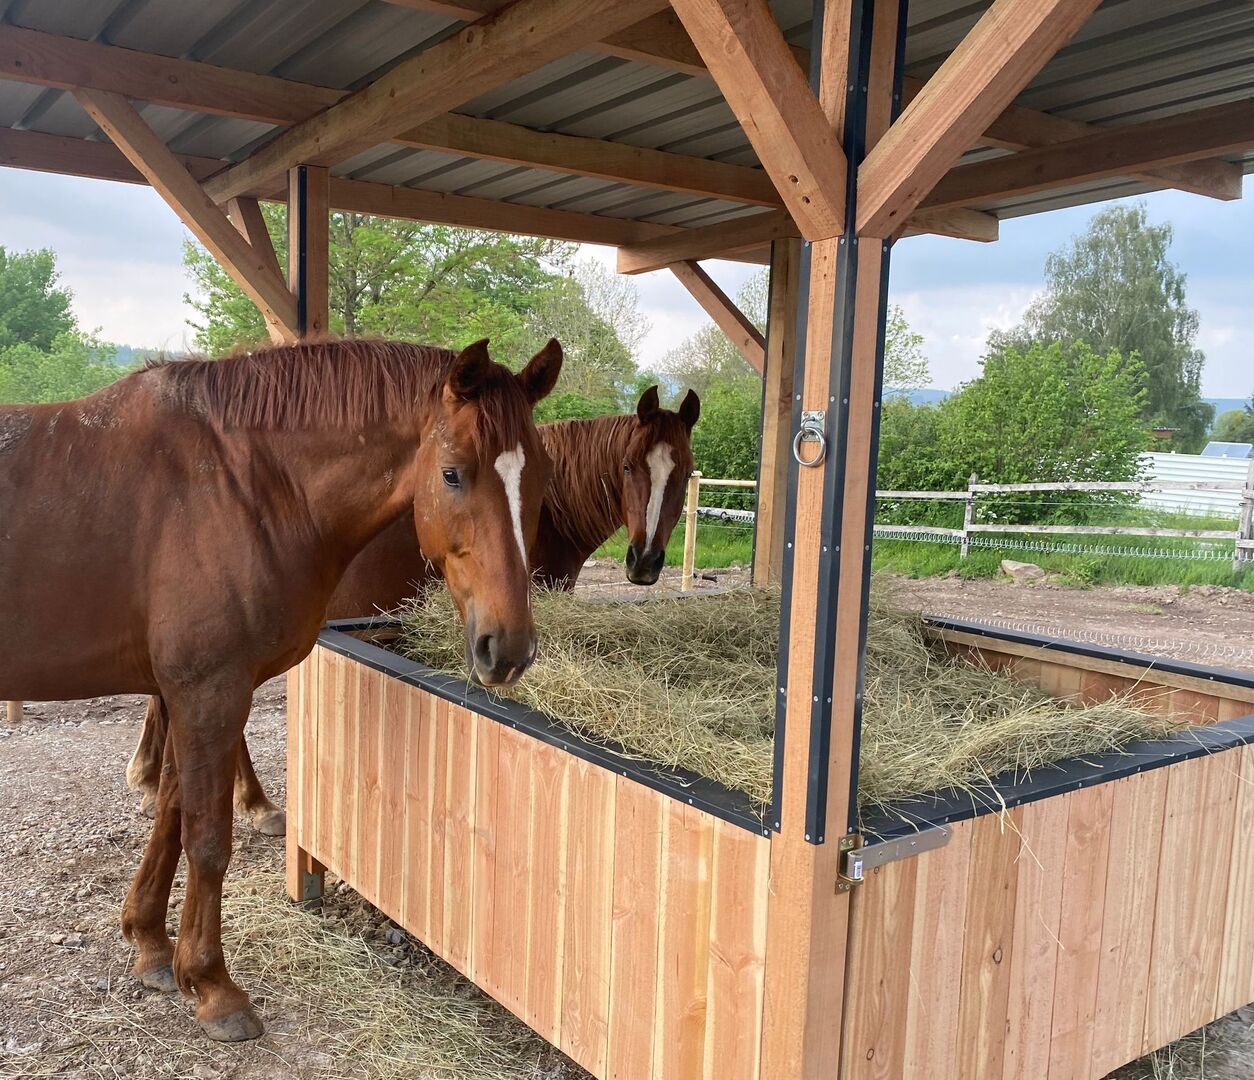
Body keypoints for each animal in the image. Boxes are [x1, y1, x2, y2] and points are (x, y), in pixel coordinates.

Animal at [0, 336, 562, 1042]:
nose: (508, 648)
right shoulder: (209, 692)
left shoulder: (189, 694)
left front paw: (152, 944)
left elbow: (171, 815)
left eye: (540, 477)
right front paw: (214, 987)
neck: (237, 486)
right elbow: (207, 840)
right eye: (454, 474)